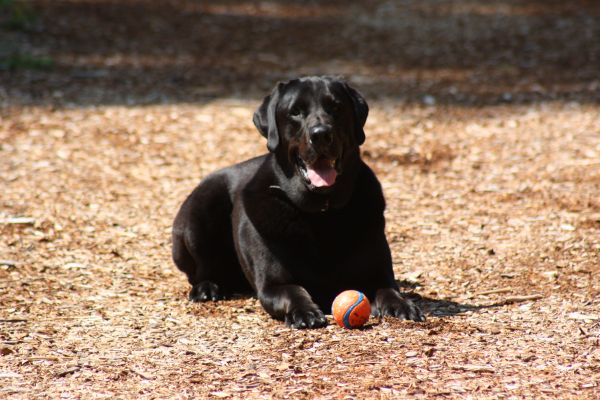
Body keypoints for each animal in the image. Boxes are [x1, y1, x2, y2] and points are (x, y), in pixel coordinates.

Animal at [173, 76, 424, 328]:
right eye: (295, 112)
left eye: (336, 107)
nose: (321, 134)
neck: (322, 212)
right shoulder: (274, 285)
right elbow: (294, 291)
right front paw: (305, 312)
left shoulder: (378, 274)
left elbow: (388, 290)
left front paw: (401, 306)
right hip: (198, 216)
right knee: (200, 270)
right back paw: (207, 288)